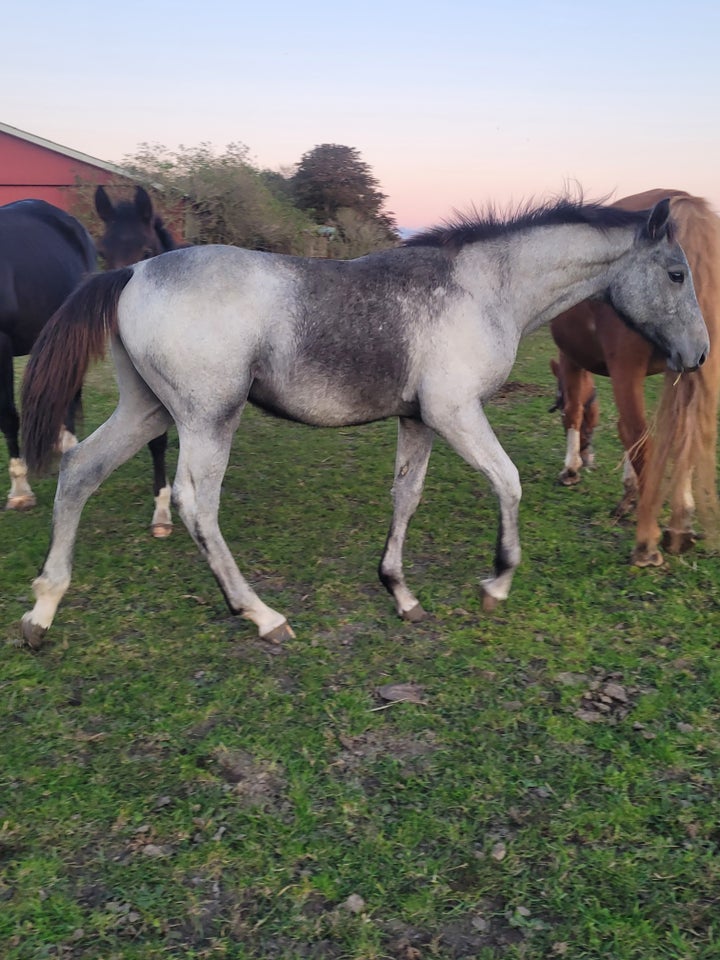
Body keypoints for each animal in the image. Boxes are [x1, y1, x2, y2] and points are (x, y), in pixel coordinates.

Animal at [552, 189, 720, 564]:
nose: (588, 457)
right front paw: (630, 493)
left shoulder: (574, 361)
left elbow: (576, 411)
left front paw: (571, 468)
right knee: (682, 437)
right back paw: (679, 523)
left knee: (640, 436)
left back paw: (646, 543)